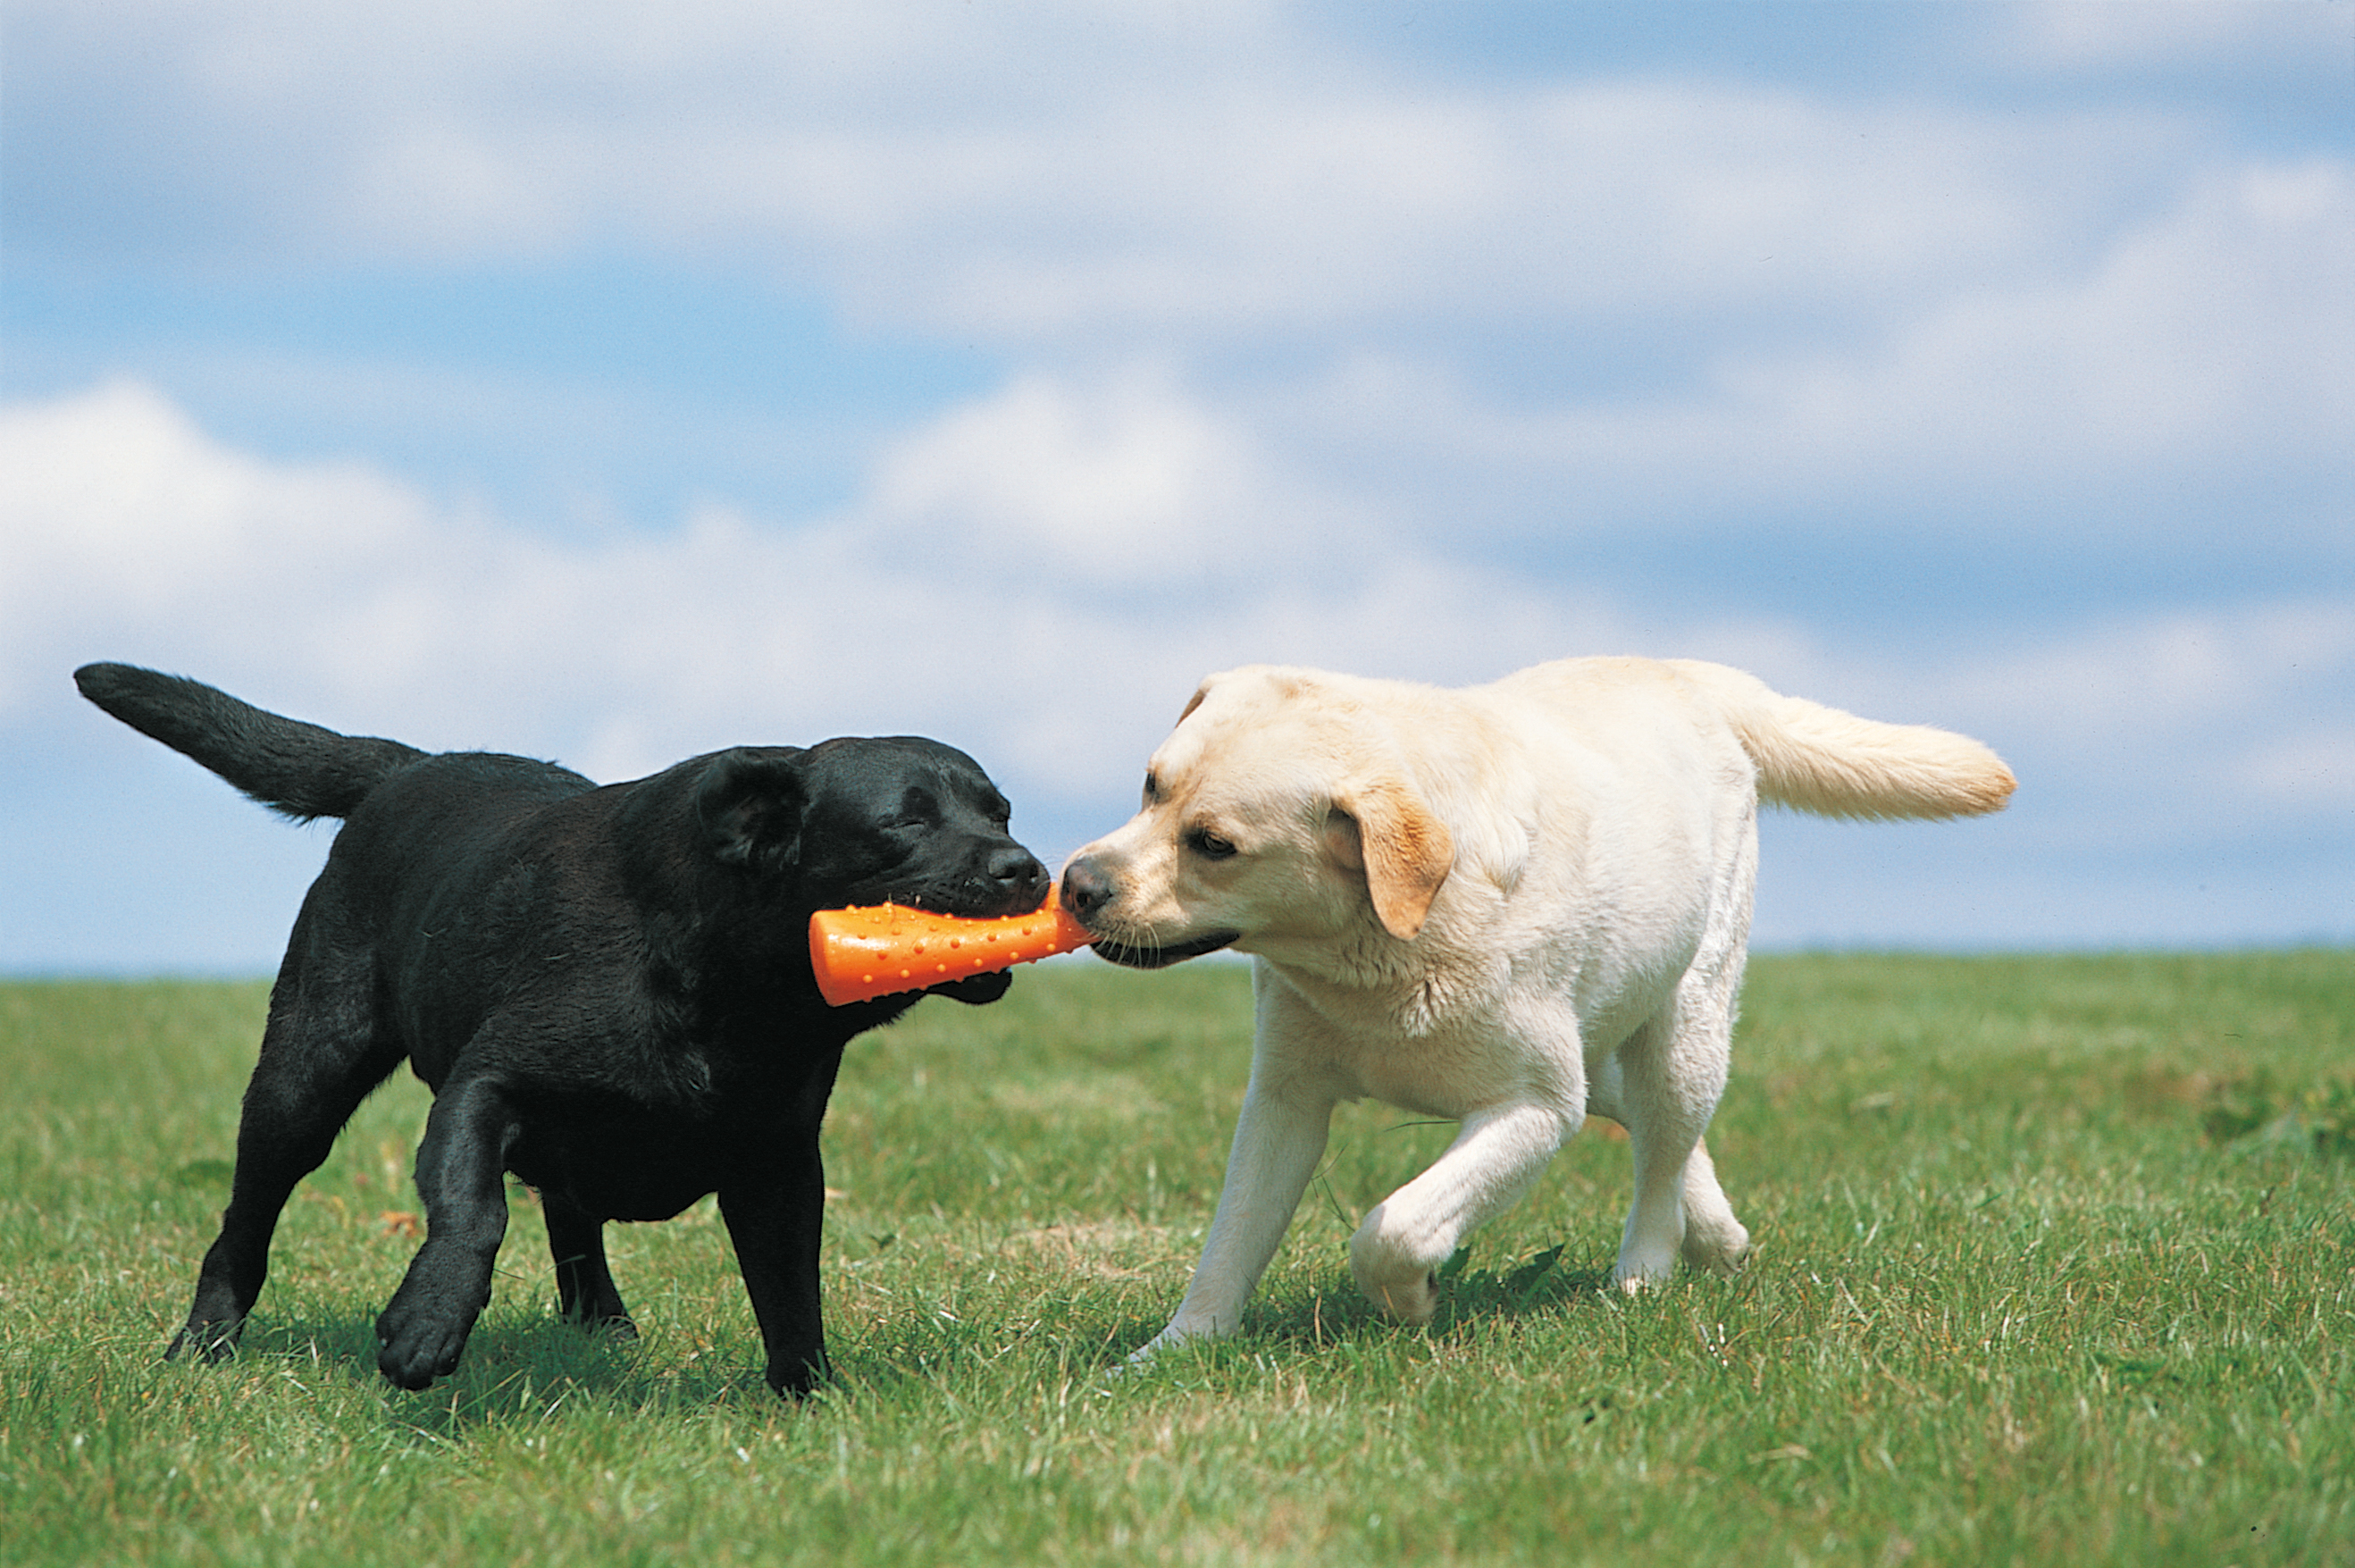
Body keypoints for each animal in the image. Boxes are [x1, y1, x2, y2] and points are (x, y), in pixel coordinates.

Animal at [78, 664, 1045, 1394]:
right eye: (904, 821)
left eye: (998, 810)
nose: (1027, 868)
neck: (732, 984)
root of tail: (401, 768)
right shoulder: (485, 1084)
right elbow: (474, 1210)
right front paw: (424, 1324)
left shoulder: (777, 1160)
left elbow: (789, 1291)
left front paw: (806, 1400)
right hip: (302, 1078)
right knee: (245, 1223)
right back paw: (202, 1346)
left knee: (570, 1217)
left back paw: (602, 1323)